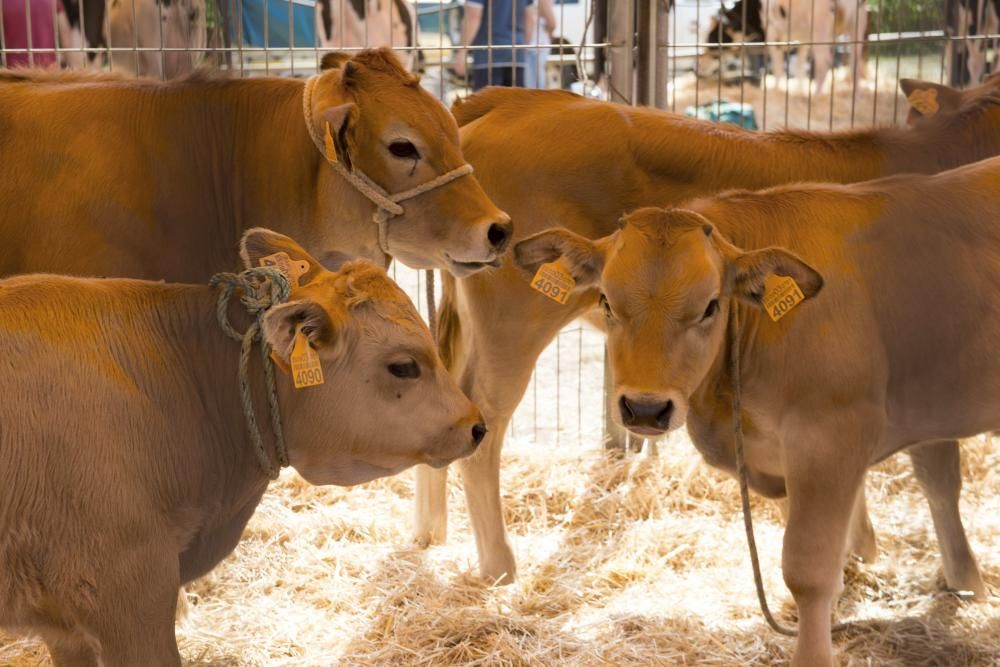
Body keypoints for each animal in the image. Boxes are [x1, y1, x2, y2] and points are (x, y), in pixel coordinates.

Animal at [418, 74, 1000, 584]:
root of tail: (510, 100)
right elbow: (937, 471)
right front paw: (960, 578)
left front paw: (861, 551)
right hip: (513, 323)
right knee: (484, 425)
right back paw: (500, 566)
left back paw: (429, 535)